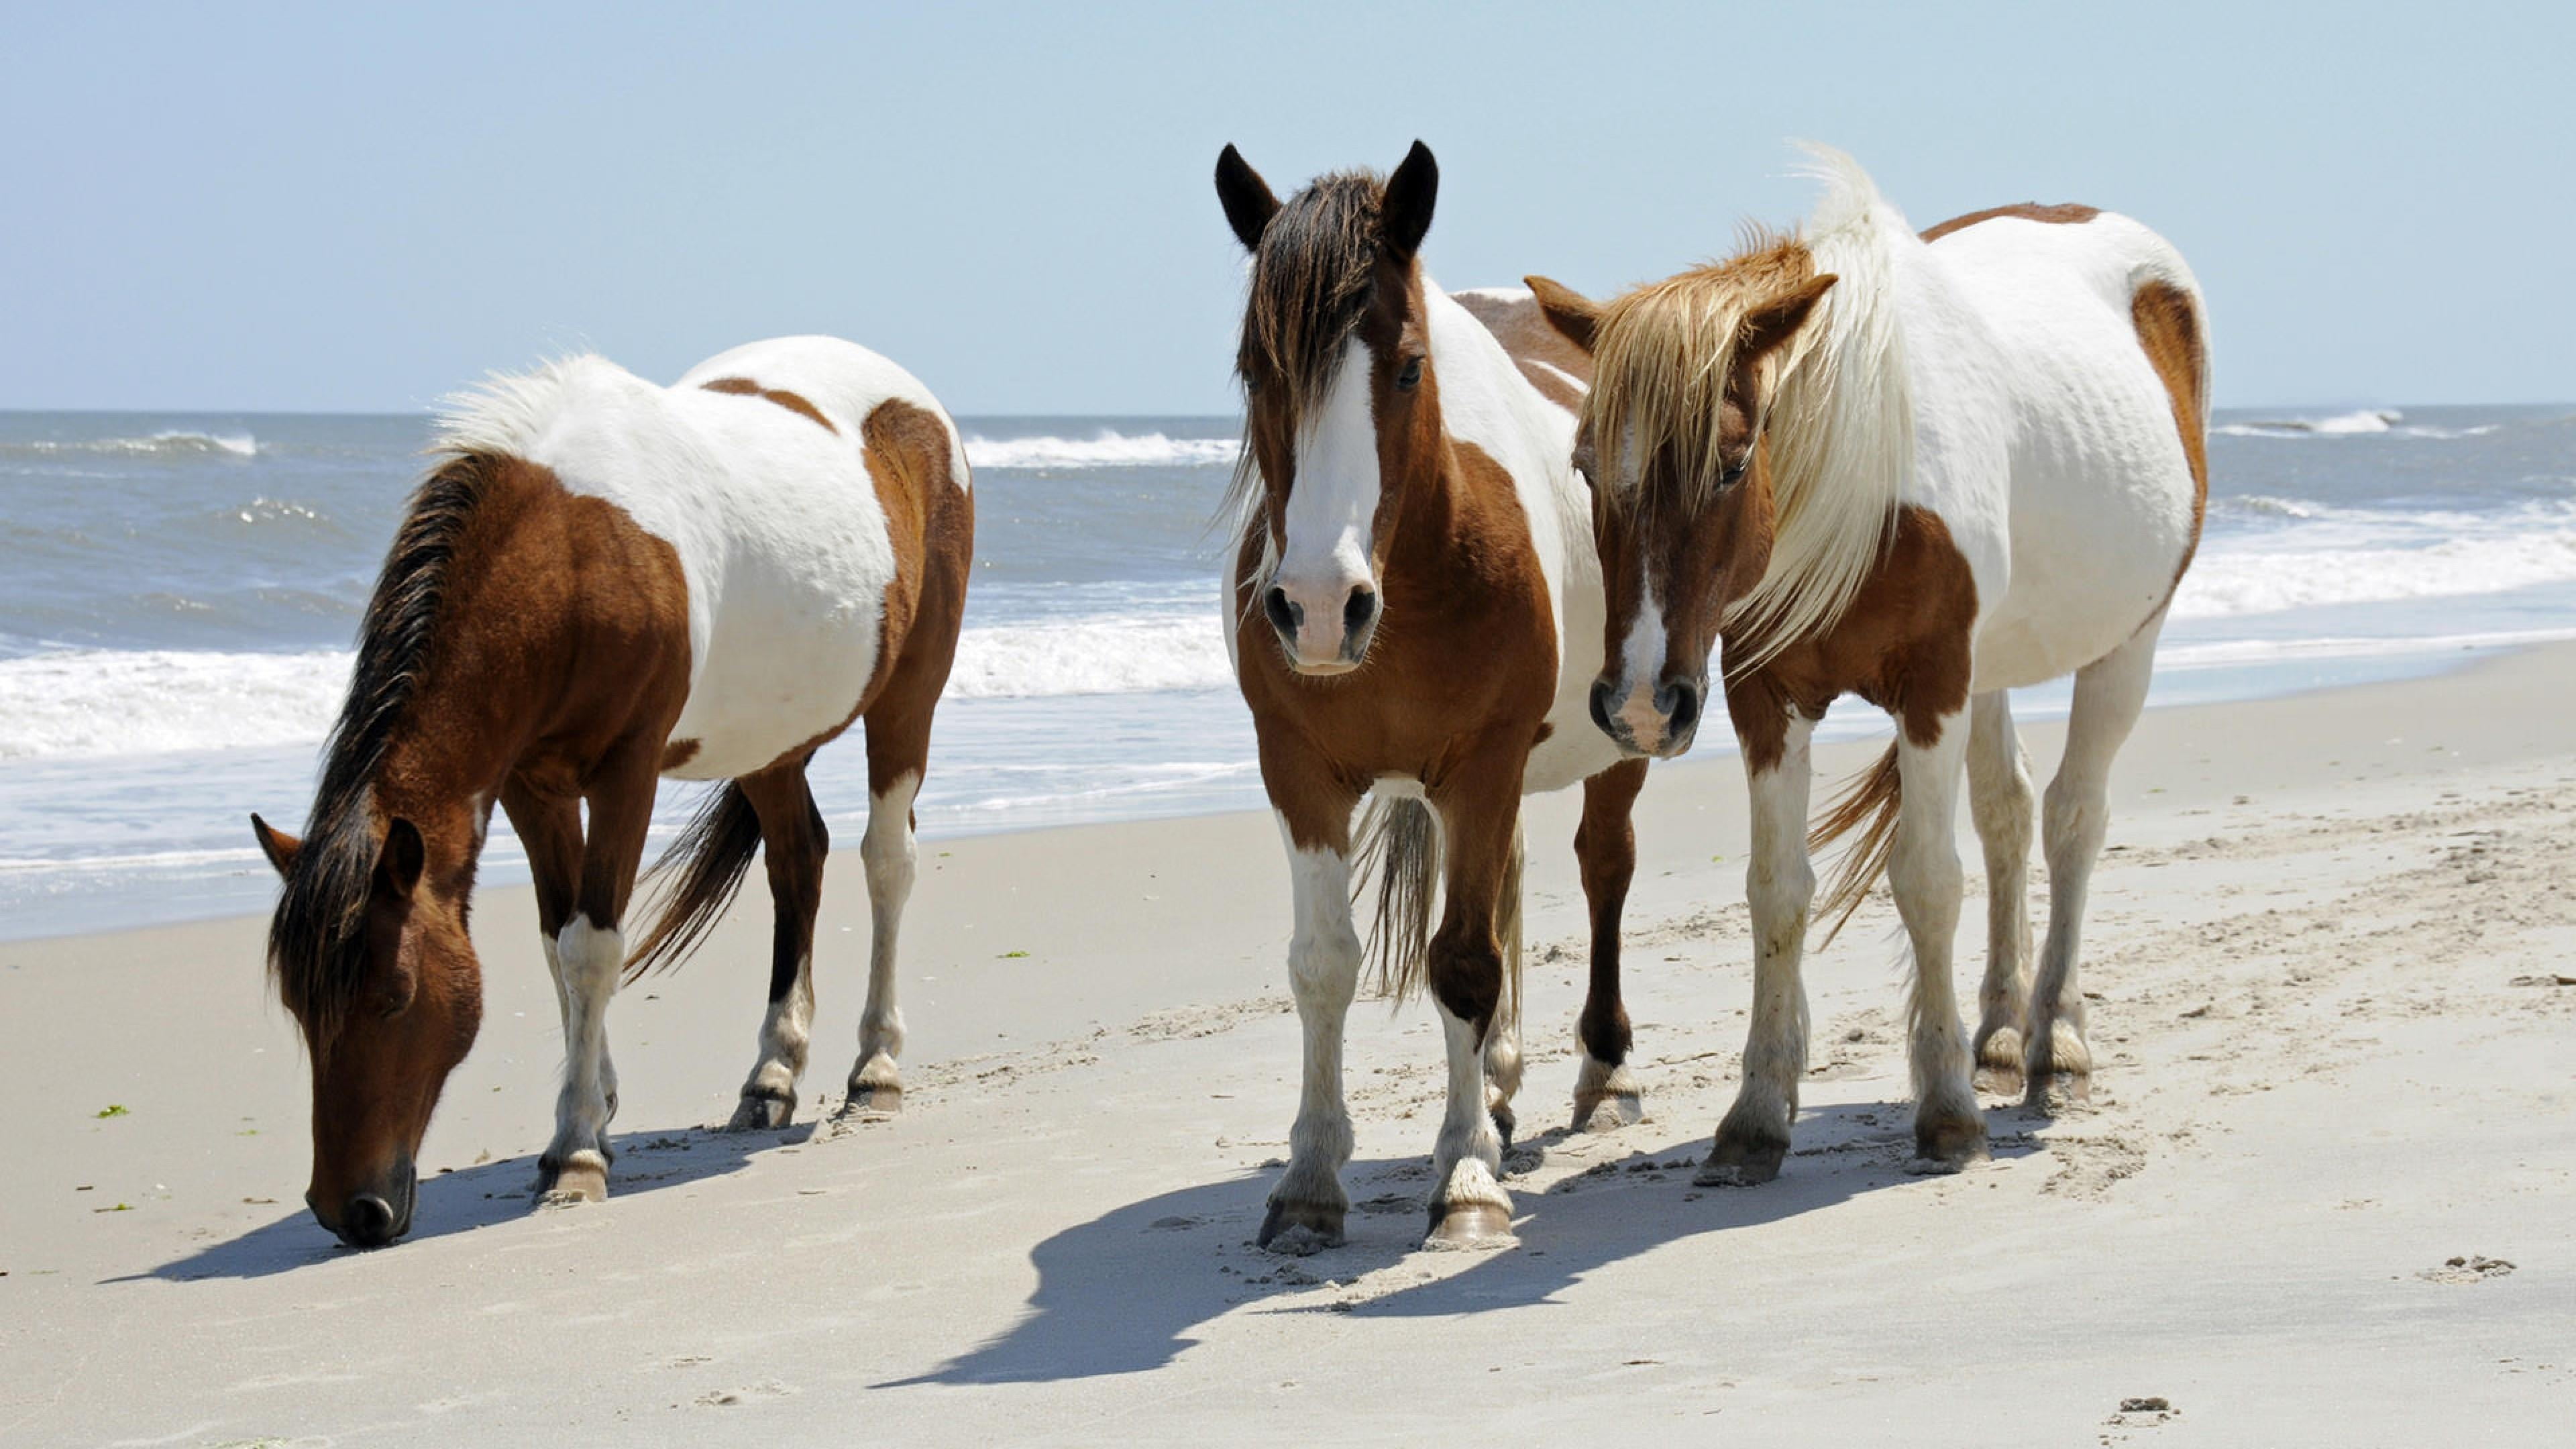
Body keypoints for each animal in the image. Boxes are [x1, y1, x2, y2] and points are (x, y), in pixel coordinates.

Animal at [250, 335, 974, 1246]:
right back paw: (771, 1077)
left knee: (886, 862)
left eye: (395, 997)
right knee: (796, 860)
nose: (351, 1211)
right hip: (767, 742)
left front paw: (576, 1156)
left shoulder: (627, 773)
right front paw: (593, 1105)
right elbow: (557, 943)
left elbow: (592, 947)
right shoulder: (533, 785)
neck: (574, 555)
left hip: (911, 692)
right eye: (299, 1006)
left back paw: (874, 1070)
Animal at [1214, 141, 1650, 1253]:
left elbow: (1462, 964)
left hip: (1618, 742)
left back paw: (1604, 1073)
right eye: (1254, 369)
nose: (1320, 609)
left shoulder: (1483, 765)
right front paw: (1310, 1180)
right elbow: (1325, 963)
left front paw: (1465, 1180)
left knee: (1603, 871)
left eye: (1411, 367)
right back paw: (1496, 1085)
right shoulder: (1300, 773)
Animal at [1528, 147, 2206, 1178]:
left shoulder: (1932, 688)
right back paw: (1999, 1033)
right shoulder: (1763, 697)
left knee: (2072, 821)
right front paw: (1756, 1114)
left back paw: (2054, 1044)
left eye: (1732, 463)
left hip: (2130, 642)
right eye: (1584, 466)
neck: (1862, 483)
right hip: (1993, 669)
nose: (1641, 704)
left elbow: (1927, 878)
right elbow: (1777, 890)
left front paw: (1948, 1113)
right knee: (2008, 815)